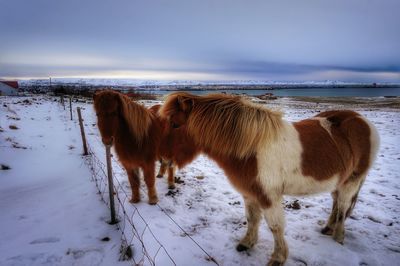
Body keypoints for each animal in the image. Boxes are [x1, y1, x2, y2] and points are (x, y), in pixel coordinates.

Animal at [159, 92, 378, 266]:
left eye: (175, 124)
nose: (163, 159)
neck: (250, 148)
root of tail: (361, 120)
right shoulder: (249, 193)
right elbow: (252, 219)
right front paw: (246, 244)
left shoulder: (268, 196)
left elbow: (275, 227)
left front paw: (278, 258)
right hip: (338, 182)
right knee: (336, 204)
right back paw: (327, 228)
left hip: (351, 182)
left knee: (342, 208)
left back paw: (338, 237)